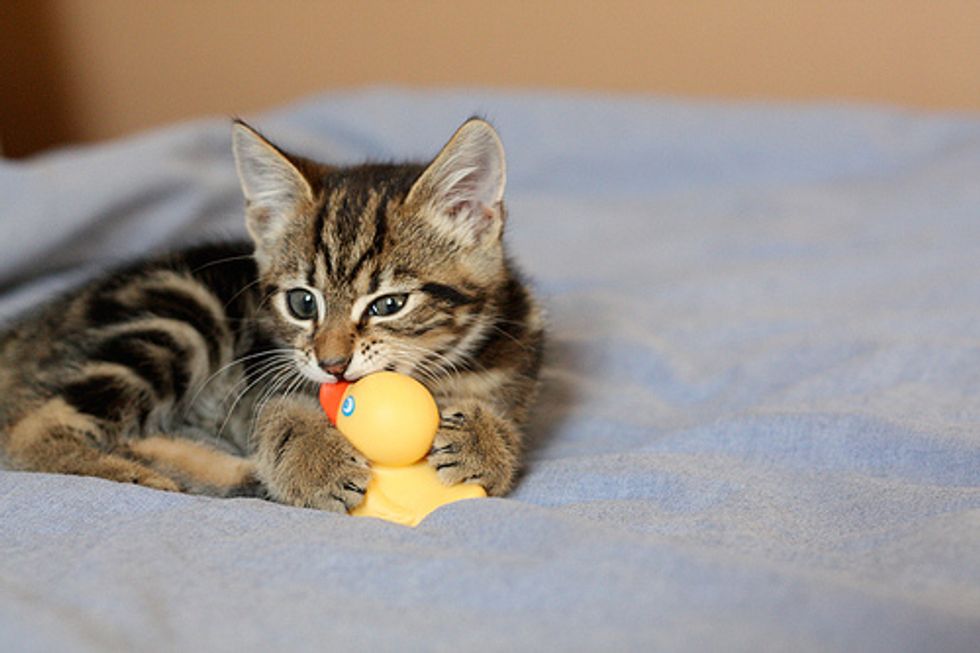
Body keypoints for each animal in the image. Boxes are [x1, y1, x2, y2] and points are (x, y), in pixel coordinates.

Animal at [0, 119, 544, 512]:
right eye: (303, 303)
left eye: (389, 304)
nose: (332, 365)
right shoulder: (264, 370)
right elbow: (279, 414)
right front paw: (315, 462)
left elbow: (509, 423)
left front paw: (483, 441)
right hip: (178, 314)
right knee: (27, 432)